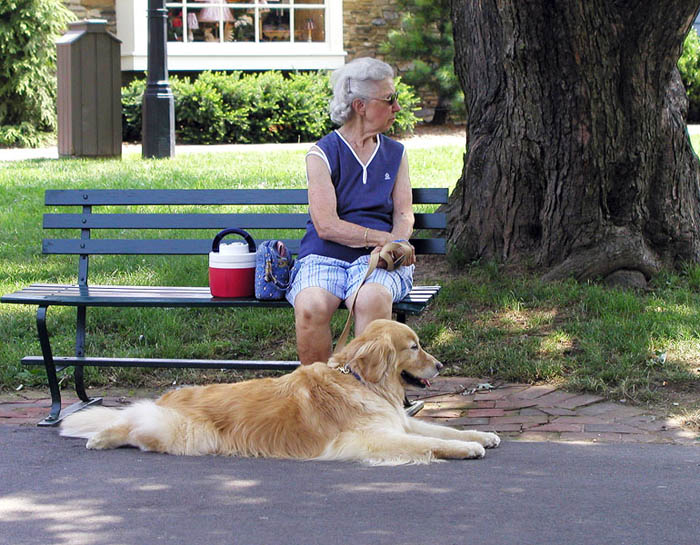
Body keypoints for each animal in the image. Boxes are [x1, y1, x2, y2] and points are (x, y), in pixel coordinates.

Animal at [60, 318, 498, 464]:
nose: (440, 366)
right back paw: (101, 437)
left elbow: (445, 429)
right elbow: (430, 443)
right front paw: (465, 449)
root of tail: (171, 395)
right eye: (414, 347)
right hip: (184, 433)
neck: (359, 380)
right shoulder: (373, 438)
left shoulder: (399, 424)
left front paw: (483, 435)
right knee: (132, 423)